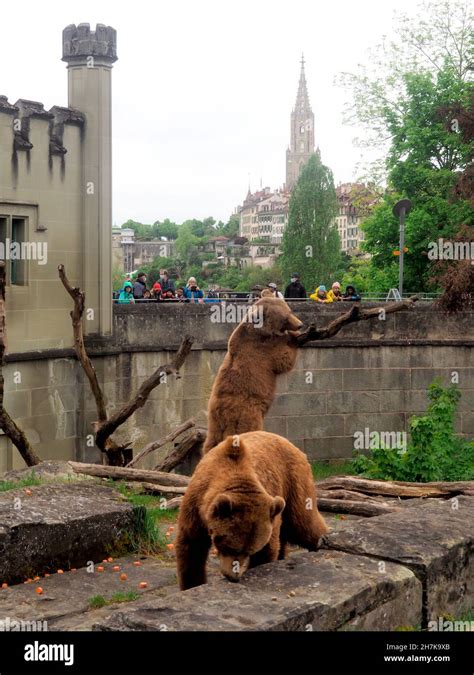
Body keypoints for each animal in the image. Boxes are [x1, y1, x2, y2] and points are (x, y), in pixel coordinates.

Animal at [176, 434, 328, 592]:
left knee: (303, 524)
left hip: (293, 483)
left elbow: (266, 551)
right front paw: (192, 584)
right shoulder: (195, 506)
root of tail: (292, 445)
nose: (233, 577)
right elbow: (191, 547)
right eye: (229, 547)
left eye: (249, 551)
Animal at [202, 296, 302, 454]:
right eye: (286, 316)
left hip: (214, 423)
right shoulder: (263, 350)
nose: (300, 325)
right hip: (248, 413)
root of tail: (225, 416)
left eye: (290, 310)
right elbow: (284, 359)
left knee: (211, 442)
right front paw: (293, 337)